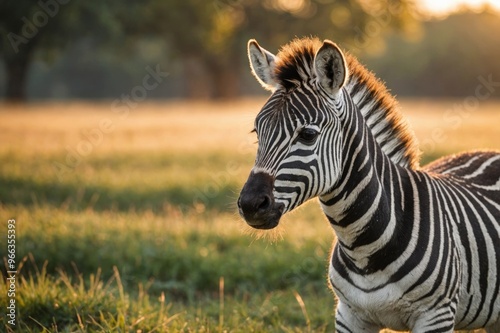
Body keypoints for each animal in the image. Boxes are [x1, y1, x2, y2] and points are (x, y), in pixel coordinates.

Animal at [238, 37, 500, 330]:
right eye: (257, 132)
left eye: (307, 135)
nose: (250, 204)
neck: (362, 247)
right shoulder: (350, 315)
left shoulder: (436, 315)